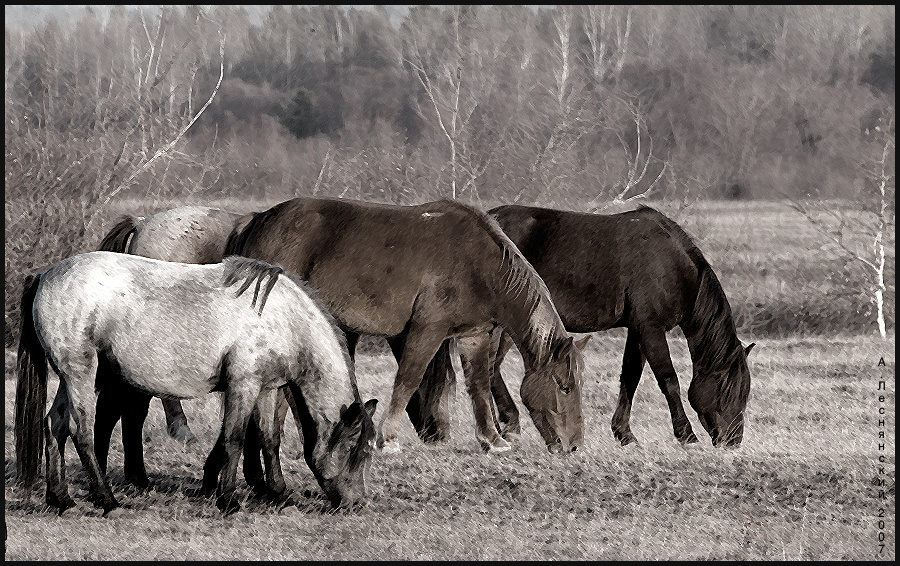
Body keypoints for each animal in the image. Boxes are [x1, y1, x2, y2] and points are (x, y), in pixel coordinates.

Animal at [15, 251, 377, 515]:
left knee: (54, 425)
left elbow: (269, 439)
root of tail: (45, 275)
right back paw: (108, 501)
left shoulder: (266, 389)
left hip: (71, 377)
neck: (284, 317)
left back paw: (61, 499)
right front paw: (228, 500)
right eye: (355, 451)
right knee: (81, 431)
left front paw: (279, 495)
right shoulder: (243, 385)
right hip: (81, 373)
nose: (356, 504)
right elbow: (234, 438)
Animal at [224, 197, 588, 456]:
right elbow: (408, 380)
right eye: (563, 386)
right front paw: (388, 439)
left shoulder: (475, 336)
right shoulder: (429, 330)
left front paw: (492, 440)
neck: (479, 264)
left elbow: (479, 385)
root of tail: (256, 220)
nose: (573, 446)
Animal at [467, 204, 753, 447]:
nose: (734, 440)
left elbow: (630, 377)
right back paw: (504, 427)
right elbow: (668, 380)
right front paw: (686, 434)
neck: (671, 263)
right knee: (490, 367)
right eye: (727, 389)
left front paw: (624, 433)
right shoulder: (651, 329)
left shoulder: (637, 330)